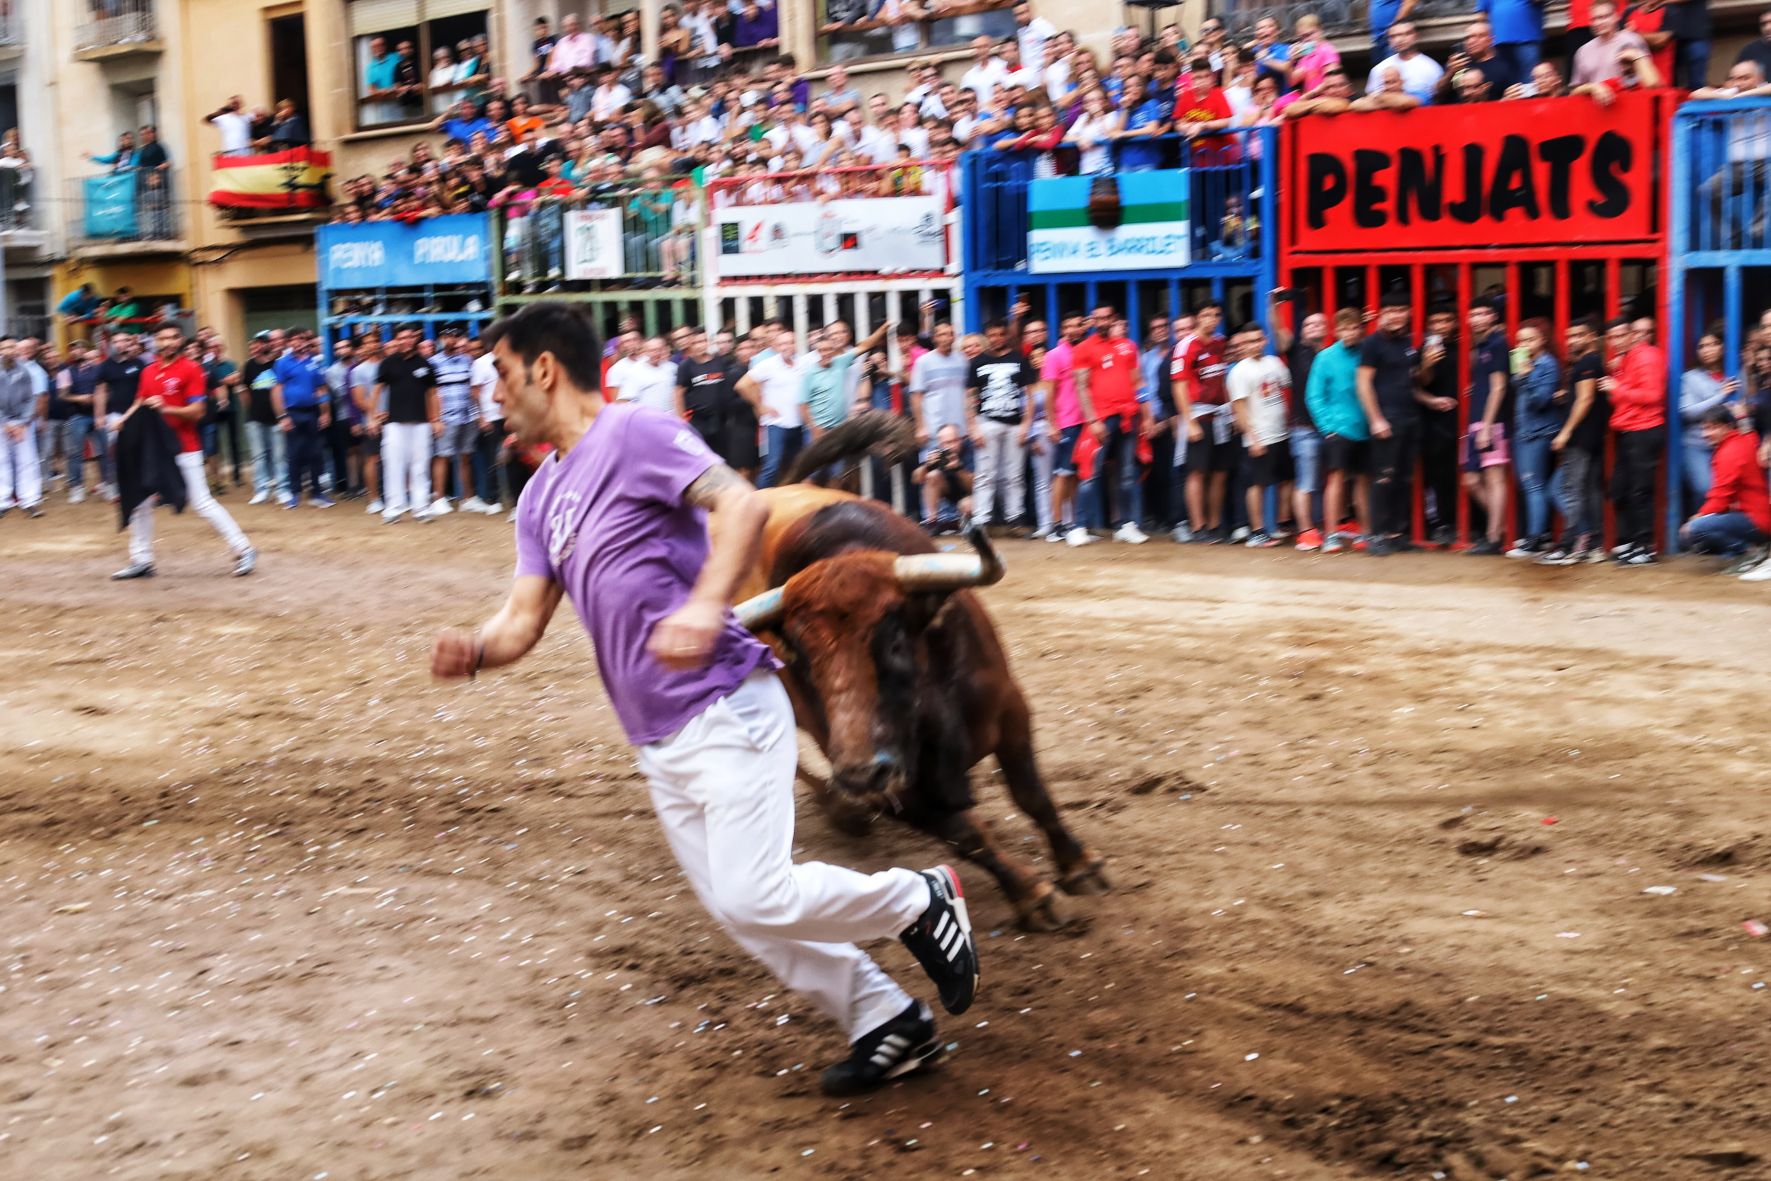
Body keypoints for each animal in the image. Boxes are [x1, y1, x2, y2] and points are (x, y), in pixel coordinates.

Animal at [726, 419, 1098, 927]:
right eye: (800, 657)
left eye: (896, 642)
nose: (861, 775)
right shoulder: (896, 786)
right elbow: (967, 835)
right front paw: (1031, 894)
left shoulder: (1010, 709)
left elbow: (1032, 794)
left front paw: (1077, 863)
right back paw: (844, 811)